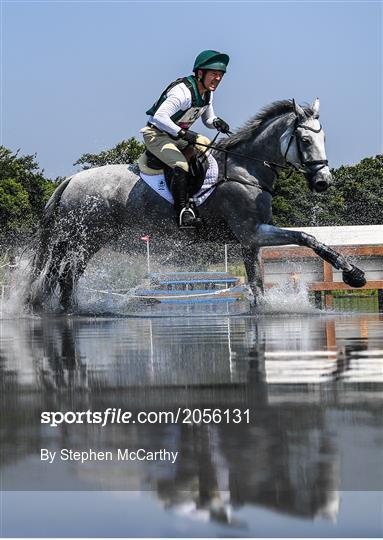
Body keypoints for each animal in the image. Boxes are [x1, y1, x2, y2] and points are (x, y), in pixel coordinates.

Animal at [29, 99, 366, 310]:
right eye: (305, 141)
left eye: (323, 139)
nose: (323, 182)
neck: (247, 169)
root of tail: (70, 180)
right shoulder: (254, 232)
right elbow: (307, 237)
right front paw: (354, 273)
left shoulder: (250, 241)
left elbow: (257, 284)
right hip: (86, 237)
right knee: (66, 275)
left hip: (83, 239)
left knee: (63, 274)